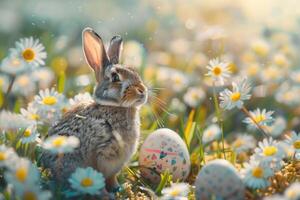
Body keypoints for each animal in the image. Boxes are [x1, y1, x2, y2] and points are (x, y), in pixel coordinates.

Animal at [41, 27, 148, 195]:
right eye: (115, 77)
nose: (142, 91)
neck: (113, 106)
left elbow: (111, 178)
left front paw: (119, 188)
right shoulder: (102, 153)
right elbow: (99, 176)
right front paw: (106, 194)